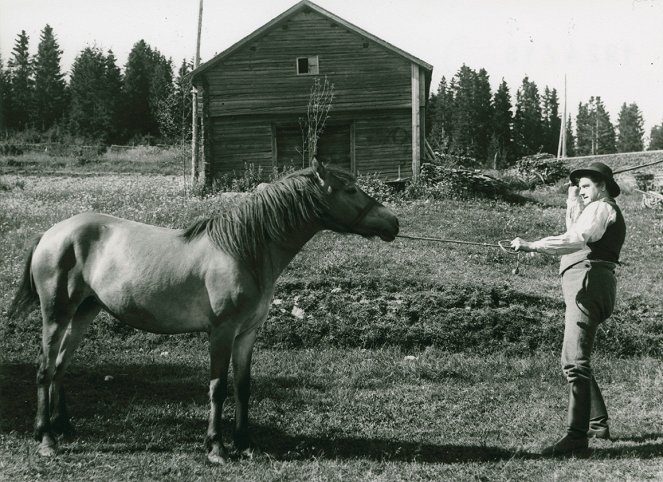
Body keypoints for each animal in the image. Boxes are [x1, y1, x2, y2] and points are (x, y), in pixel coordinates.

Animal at [7, 161, 400, 464]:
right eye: (350, 190)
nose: (393, 223)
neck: (243, 249)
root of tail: (51, 234)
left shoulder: (247, 334)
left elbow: (243, 386)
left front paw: (245, 444)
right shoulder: (222, 333)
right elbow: (218, 387)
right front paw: (217, 448)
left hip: (83, 313)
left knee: (60, 367)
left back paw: (65, 428)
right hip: (56, 315)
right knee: (44, 370)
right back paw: (46, 439)